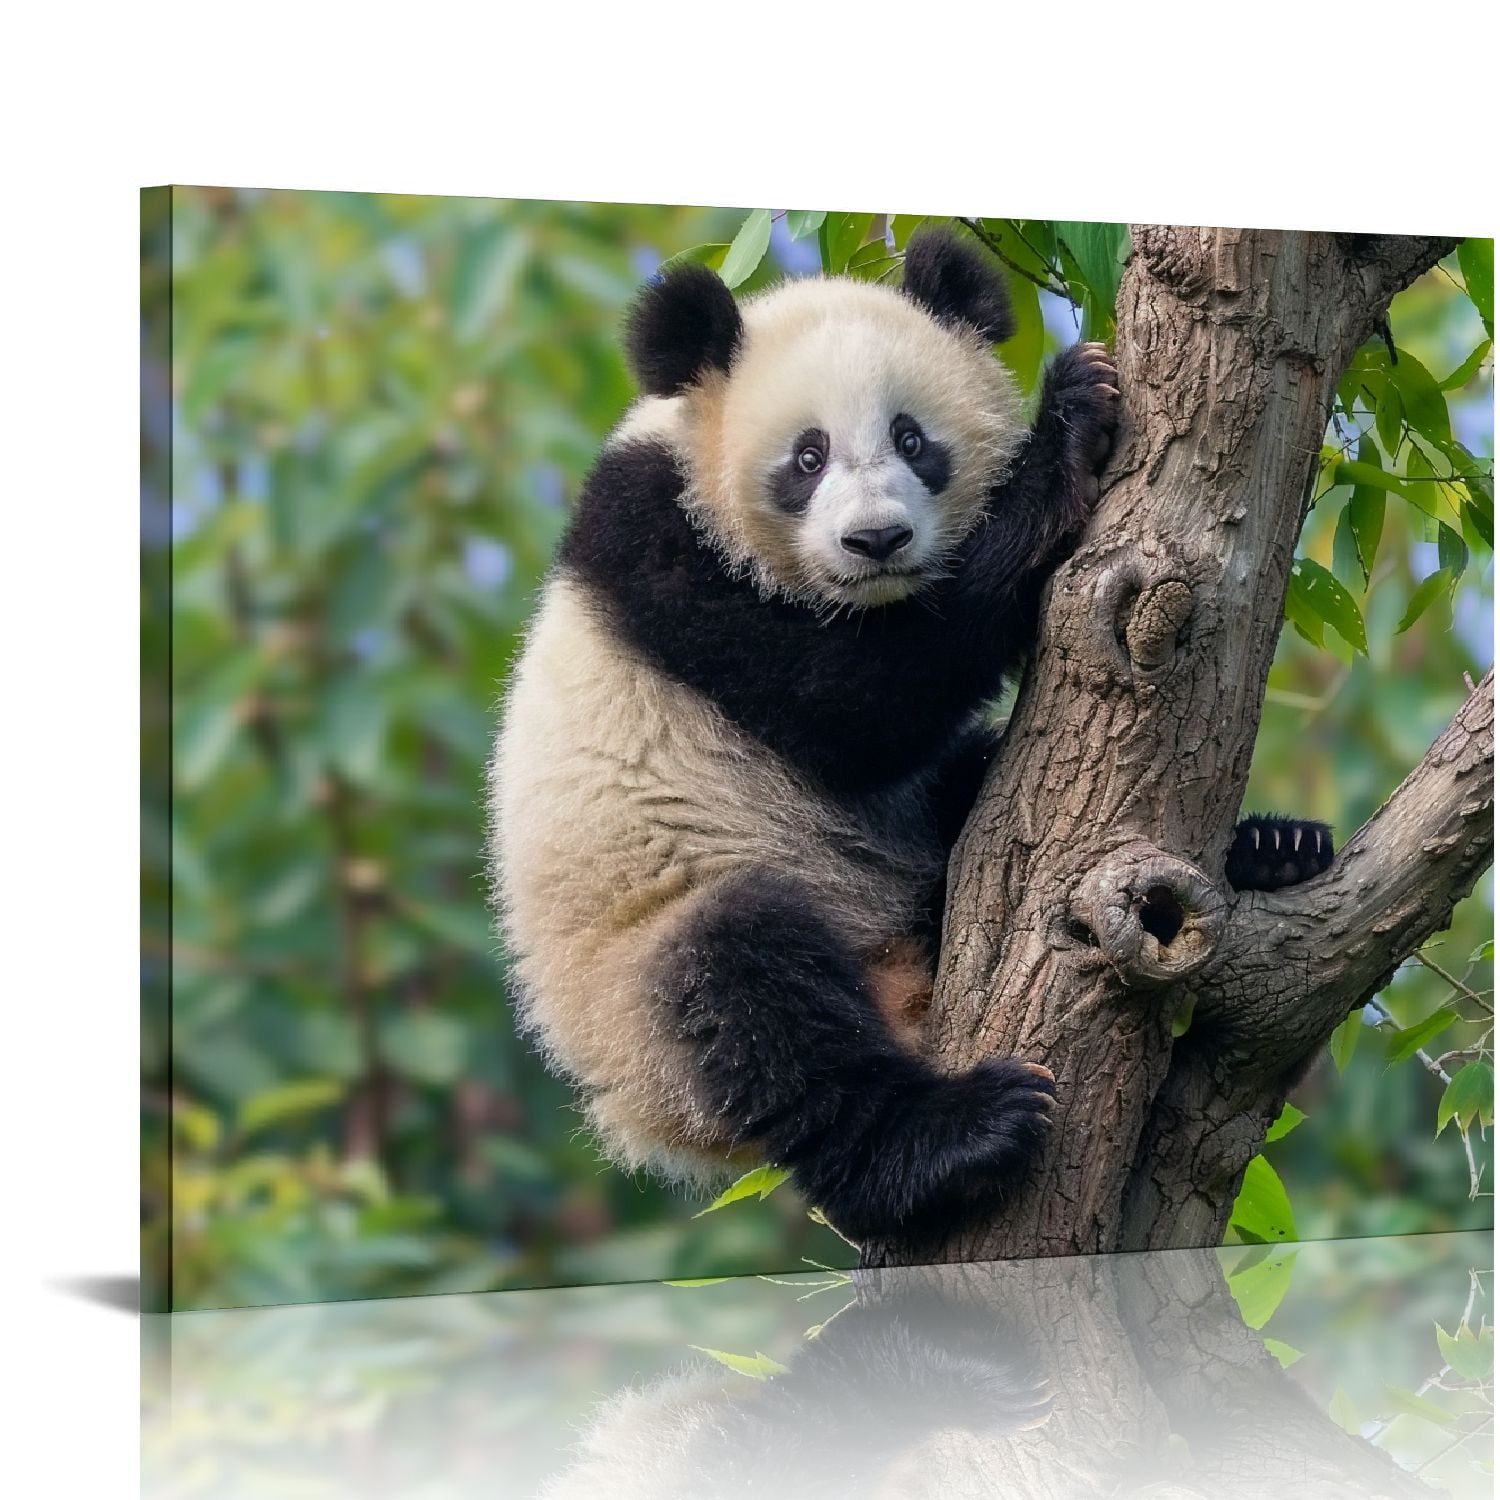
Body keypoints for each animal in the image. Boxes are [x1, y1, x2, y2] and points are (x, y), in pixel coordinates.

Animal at [488, 228, 1333, 1248]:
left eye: (912, 439)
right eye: (807, 457)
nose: (877, 540)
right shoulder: (657, 548)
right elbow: (853, 706)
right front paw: (1068, 426)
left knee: (955, 788)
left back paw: (1273, 854)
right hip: (645, 967)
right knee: (753, 994)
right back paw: (951, 1139)